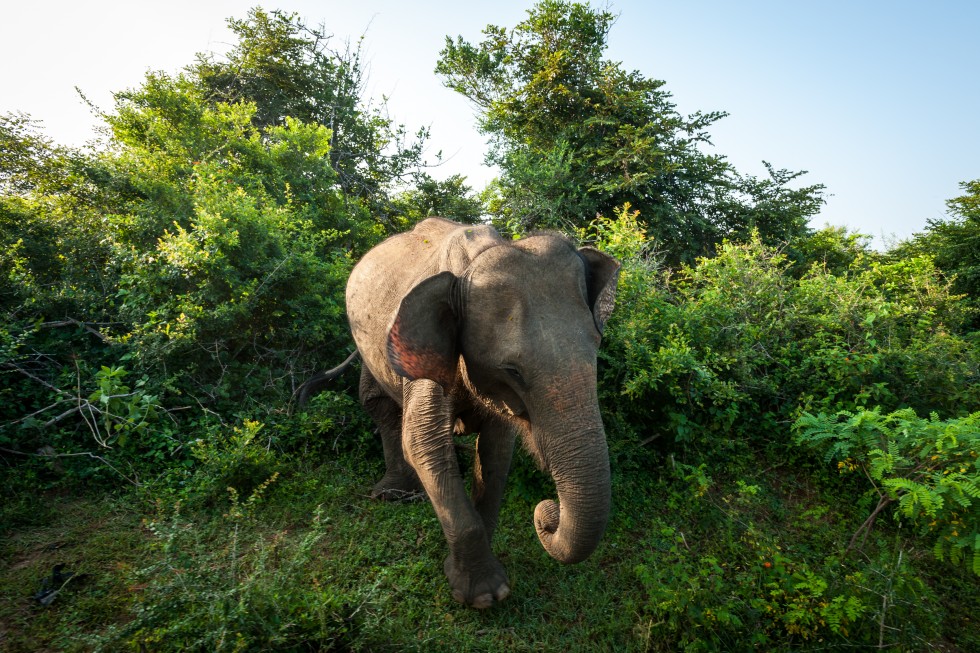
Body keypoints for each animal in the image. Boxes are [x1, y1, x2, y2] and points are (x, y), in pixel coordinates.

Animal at [310, 215, 624, 608]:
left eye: (596, 346)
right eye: (512, 371)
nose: (547, 512)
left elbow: (496, 450)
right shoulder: (426, 351)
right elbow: (424, 444)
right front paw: (484, 596)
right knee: (376, 403)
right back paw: (394, 494)